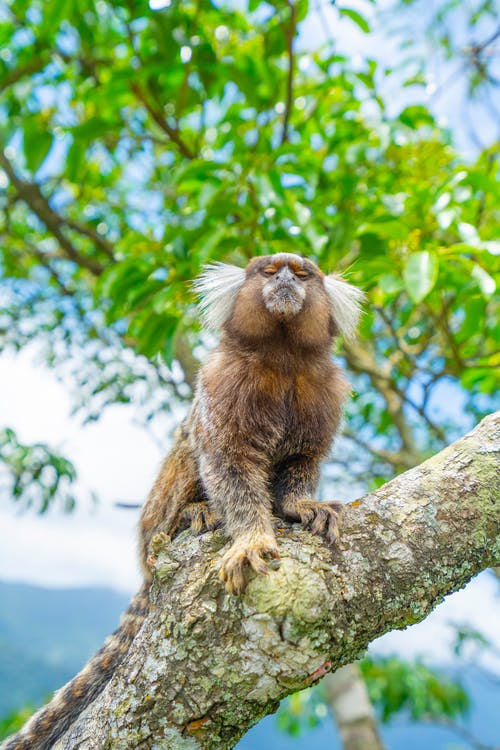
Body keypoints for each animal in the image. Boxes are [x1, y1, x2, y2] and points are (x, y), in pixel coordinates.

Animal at [2, 254, 364, 750]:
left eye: (302, 274)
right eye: (271, 272)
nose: (288, 280)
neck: (283, 358)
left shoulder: (324, 392)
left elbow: (301, 463)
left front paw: (299, 506)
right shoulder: (221, 384)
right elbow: (225, 463)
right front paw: (251, 538)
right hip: (157, 511)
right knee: (188, 449)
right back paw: (192, 514)